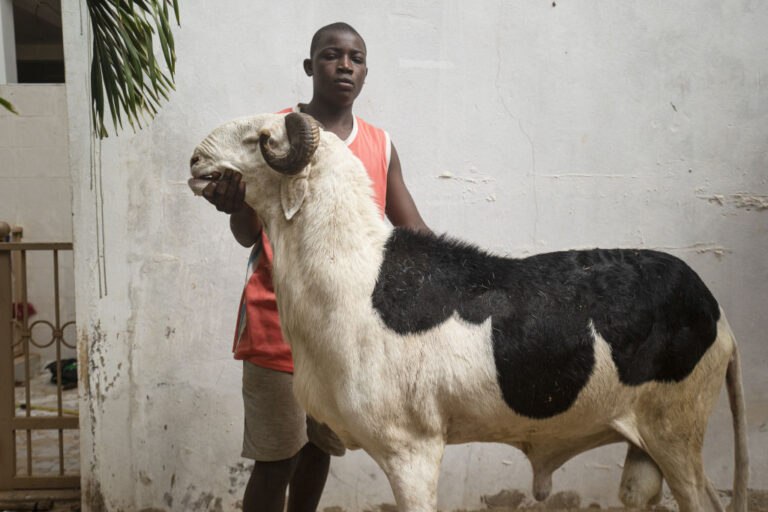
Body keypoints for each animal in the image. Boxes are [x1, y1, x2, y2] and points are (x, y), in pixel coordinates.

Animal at [189, 112, 749, 512]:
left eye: (259, 137)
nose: (195, 159)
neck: (357, 276)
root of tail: (717, 313)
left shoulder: (412, 450)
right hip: (652, 446)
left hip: (676, 430)